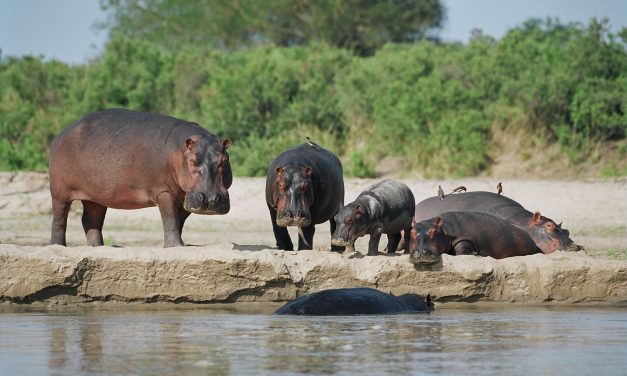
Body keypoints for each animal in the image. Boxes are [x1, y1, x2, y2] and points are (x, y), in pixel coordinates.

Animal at [47, 108, 232, 248]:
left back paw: (98, 247)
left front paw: (182, 245)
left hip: (95, 196)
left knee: (90, 220)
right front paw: (174, 246)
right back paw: (57, 246)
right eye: (192, 161)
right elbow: (170, 219)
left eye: (224, 160)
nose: (210, 198)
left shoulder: (185, 196)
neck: (180, 151)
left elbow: (178, 222)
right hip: (59, 192)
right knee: (59, 219)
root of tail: (61, 134)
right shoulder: (164, 192)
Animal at [410, 212, 544, 264]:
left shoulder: (464, 237)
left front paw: (474, 254)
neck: (444, 231)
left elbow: (462, 247)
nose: (419, 251)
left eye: (434, 231)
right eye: (412, 231)